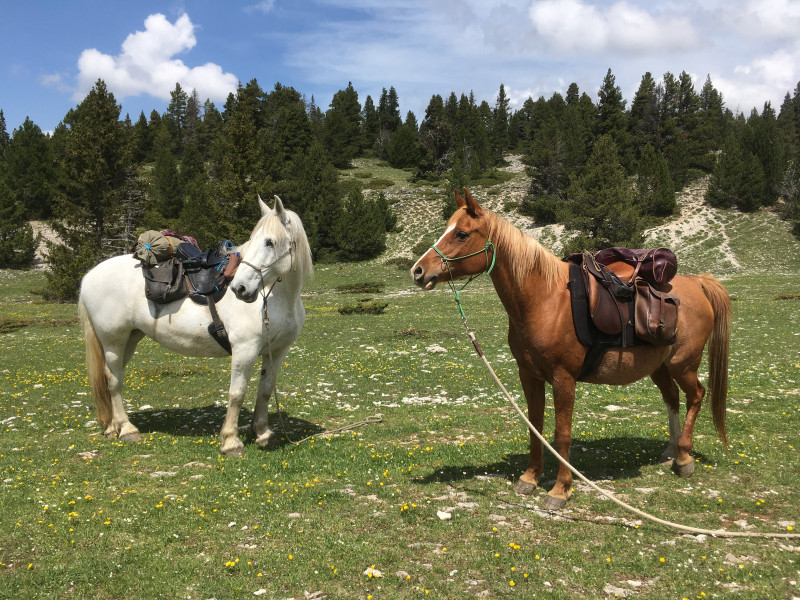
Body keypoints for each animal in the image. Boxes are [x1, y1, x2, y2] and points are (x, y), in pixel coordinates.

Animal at [78, 196, 313, 457]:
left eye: (270, 242)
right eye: (255, 241)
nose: (239, 289)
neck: (273, 298)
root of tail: (89, 276)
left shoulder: (278, 351)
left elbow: (265, 390)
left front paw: (263, 434)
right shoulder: (245, 350)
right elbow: (237, 393)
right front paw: (231, 441)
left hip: (129, 339)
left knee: (109, 376)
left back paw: (112, 428)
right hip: (113, 341)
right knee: (114, 381)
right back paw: (127, 429)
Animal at [411, 189, 731, 509]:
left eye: (462, 234)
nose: (418, 271)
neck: (544, 298)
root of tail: (697, 283)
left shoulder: (563, 378)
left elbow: (562, 433)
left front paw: (560, 489)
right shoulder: (529, 375)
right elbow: (535, 426)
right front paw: (530, 478)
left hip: (683, 364)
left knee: (696, 396)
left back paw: (684, 458)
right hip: (659, 366)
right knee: (672, 398)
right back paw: (670, 452)